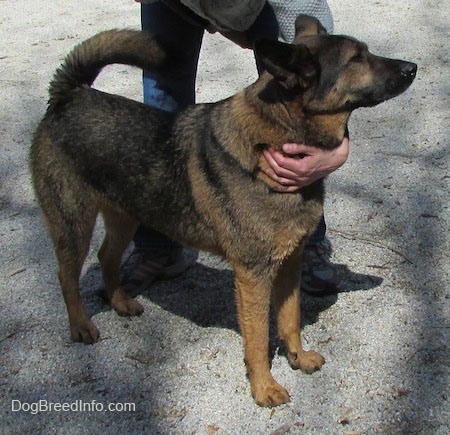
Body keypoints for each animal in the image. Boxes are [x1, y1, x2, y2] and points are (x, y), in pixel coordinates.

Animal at [30, 15, 418, 408]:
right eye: (357, 58)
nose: (412, 67)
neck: (275, 139)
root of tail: (69, 94)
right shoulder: (253, 274)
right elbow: (258, 338)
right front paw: (263, 387)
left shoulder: (290, 263)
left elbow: (290, 318)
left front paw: (297, 358)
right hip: (73, 224)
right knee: (67, 277)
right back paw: (81, 326)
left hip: (125, 216)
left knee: (107, 256)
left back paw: (121, 301)